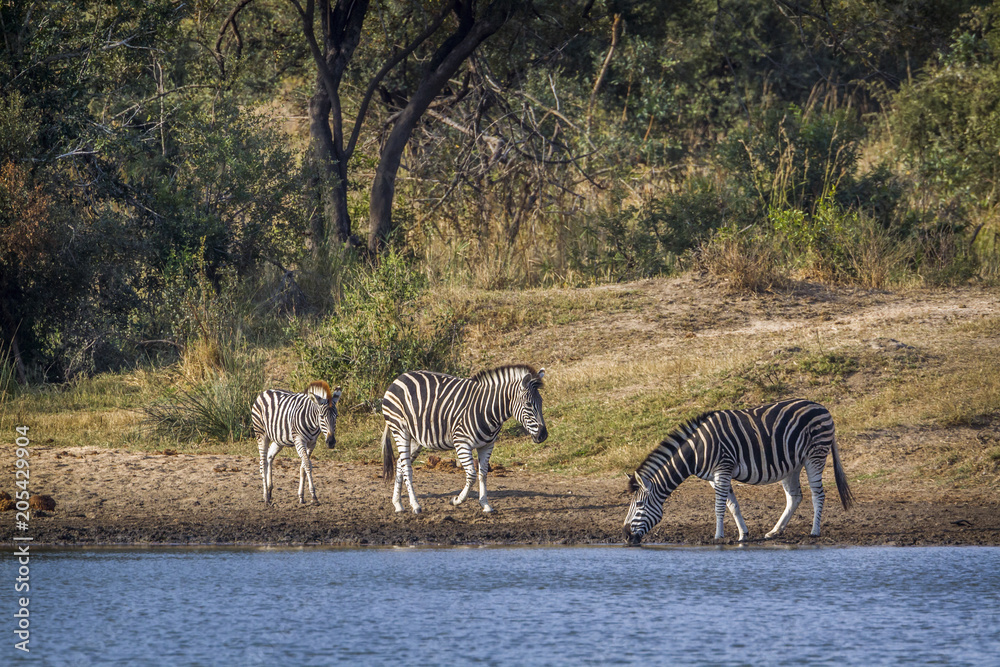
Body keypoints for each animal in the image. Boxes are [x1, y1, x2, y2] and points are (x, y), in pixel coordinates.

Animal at [380, 365, 548, 514]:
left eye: (541, 402)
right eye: (528, 404)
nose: (543, 435)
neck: (486, 409)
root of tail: (399, 378)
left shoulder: (487, 445)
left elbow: (483, 474)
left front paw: (485, 504)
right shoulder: (461, 443)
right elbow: (472, 475)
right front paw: (457, 500)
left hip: (416, 439)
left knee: (400, 464)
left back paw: (398, 504)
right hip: (400, 430)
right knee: (407, 468)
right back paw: (415, 505)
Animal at [623, 399, 853, 545]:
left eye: (640, 505)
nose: (625, 536)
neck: (696, 452)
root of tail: (822, 407)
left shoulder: (722, 468)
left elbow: (719, 507)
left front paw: (718, 537)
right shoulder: (714, 477)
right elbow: (732, 505)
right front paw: (743, 534)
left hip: (815, 455)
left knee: (818, 494)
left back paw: (814, 532)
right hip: (793, 464)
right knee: (795, 497)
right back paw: (774, 531)